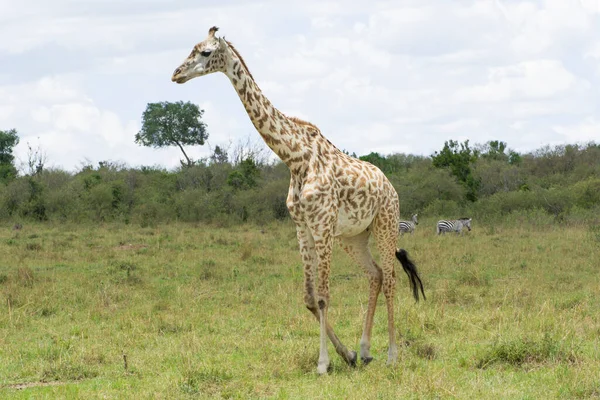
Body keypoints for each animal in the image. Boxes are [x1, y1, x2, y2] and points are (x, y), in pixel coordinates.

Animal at [171, 26, 426, 374]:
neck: (295, 158)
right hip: (353, 237)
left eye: (206, 52)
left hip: (385, 224)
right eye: (192, 47)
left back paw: (391, 355)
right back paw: (365, 350)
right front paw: (347, 355)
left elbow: (323, 296)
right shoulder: (303, 228)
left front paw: (323, 363)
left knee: (389, 279)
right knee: (374, 275)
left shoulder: (322, 227)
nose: (176, 74)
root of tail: (389, 184)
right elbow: (308, 298)